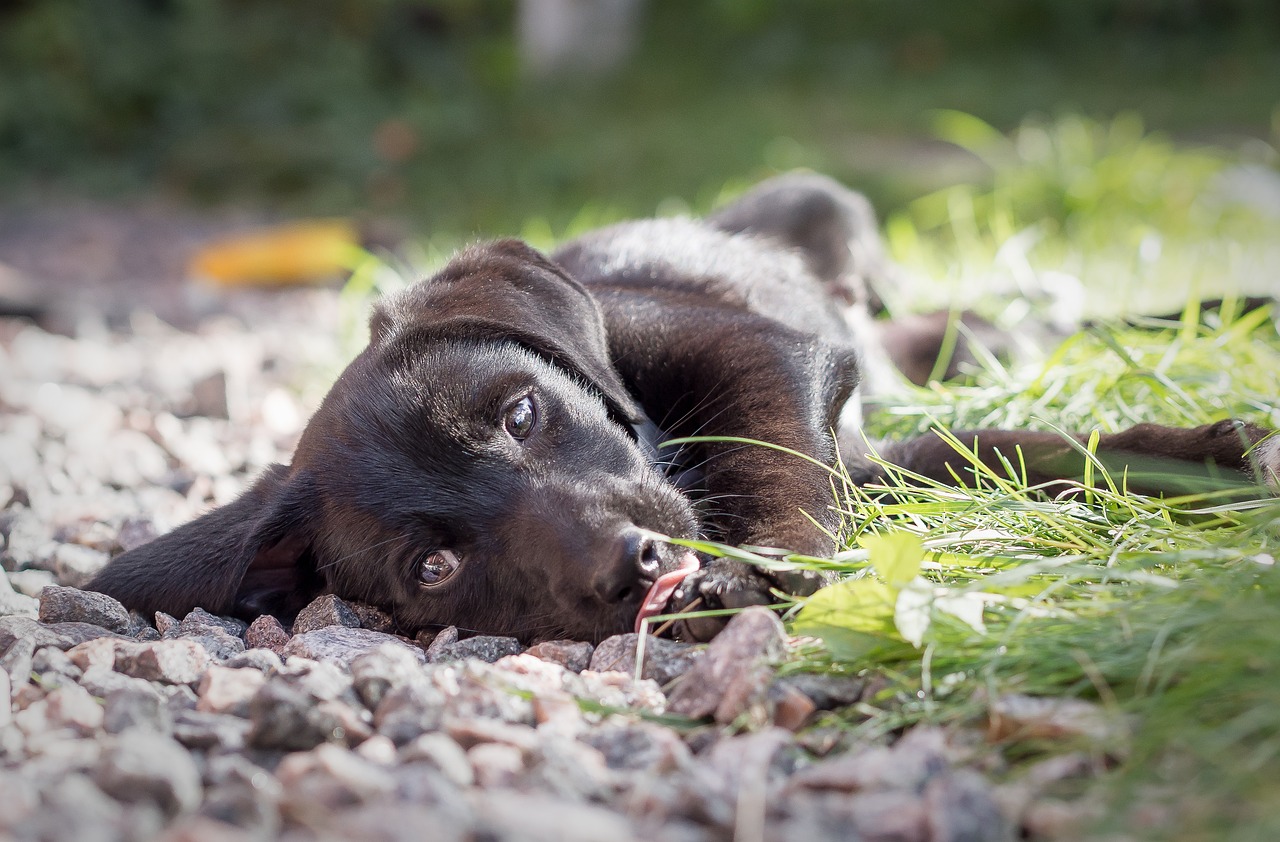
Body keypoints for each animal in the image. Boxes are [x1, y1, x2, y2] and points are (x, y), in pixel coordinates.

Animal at [92, 174, 1280, 639]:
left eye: (521, 415)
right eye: (432, 567)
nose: (639, 567)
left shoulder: (767, 358)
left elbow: (775, 463)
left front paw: (771, 567)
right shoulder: (878, 461)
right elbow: (1020, 453)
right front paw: (1203, 463)